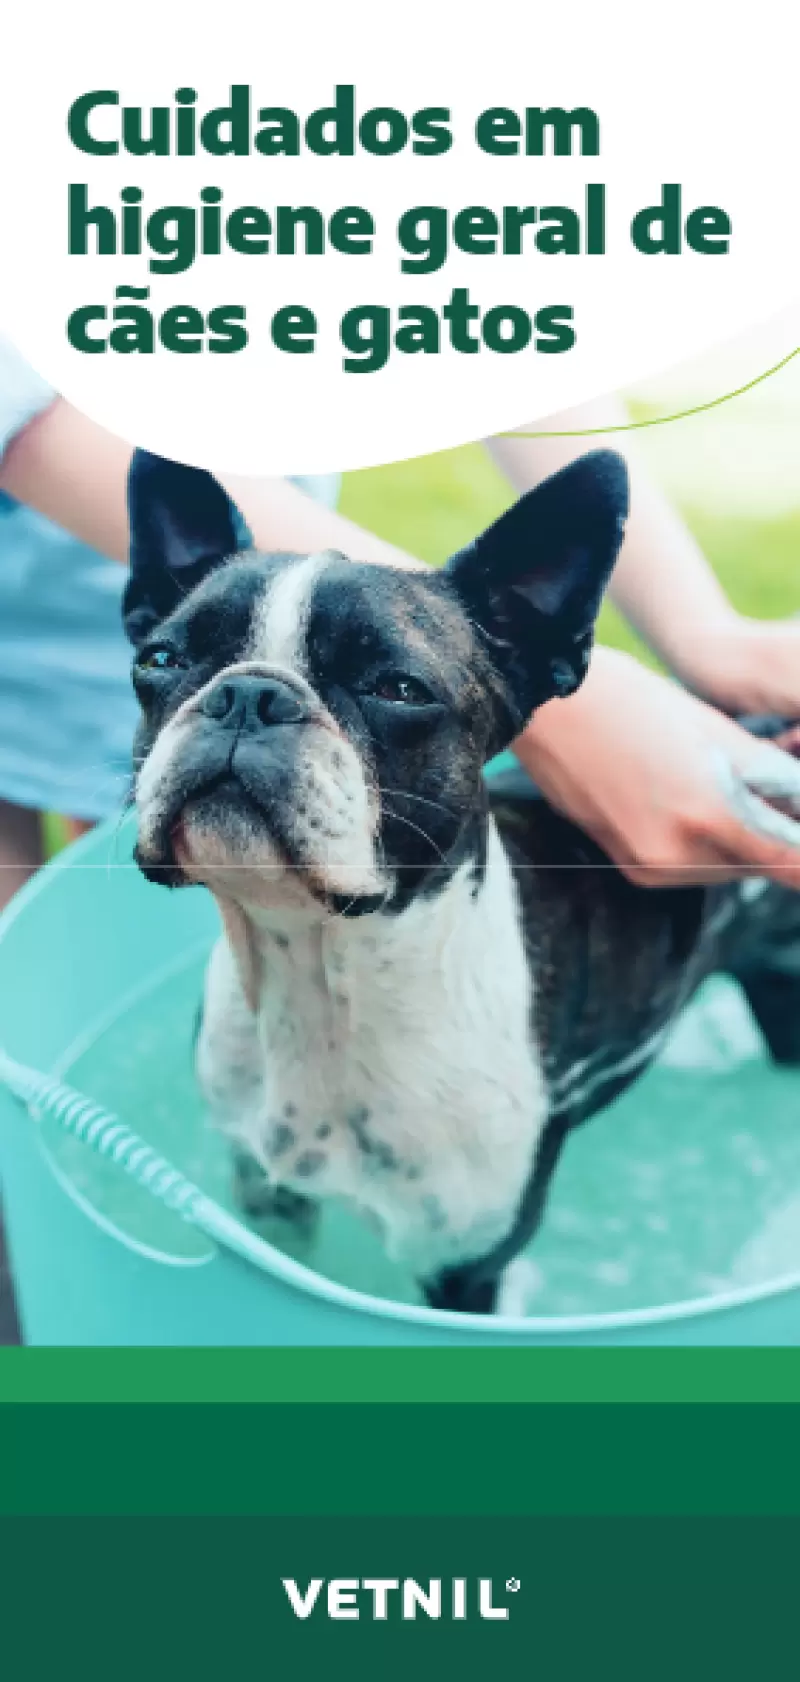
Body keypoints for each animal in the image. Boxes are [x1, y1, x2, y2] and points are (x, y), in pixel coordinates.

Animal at [121, 447, 800, 1311]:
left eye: (398, 688)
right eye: (160, 661)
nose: (248, 693)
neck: (323, 971)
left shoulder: (464, 1265)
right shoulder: (270, 1195)